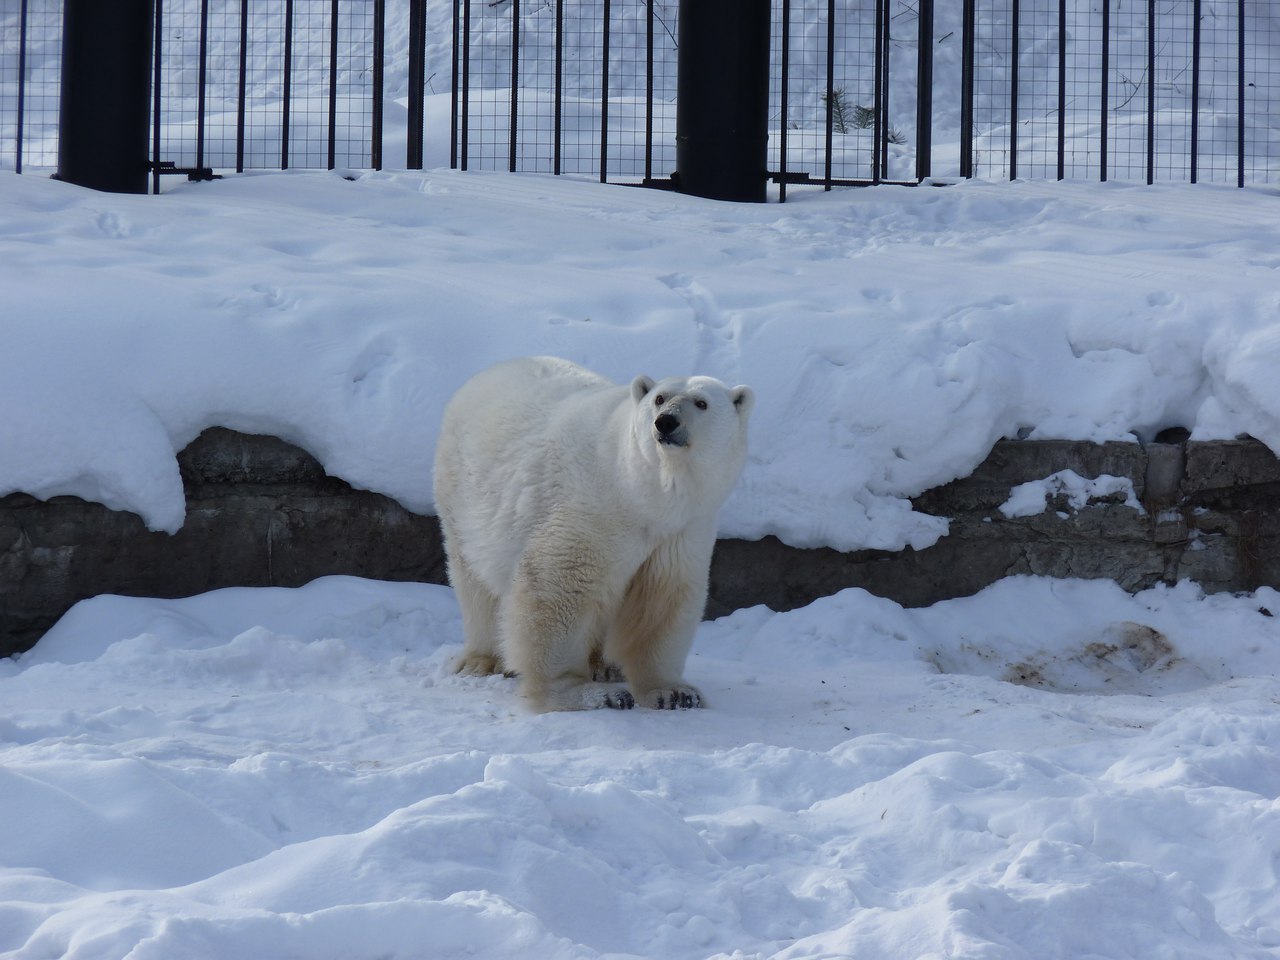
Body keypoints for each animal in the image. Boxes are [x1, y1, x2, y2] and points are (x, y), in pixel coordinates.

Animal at [432, 358, 747, 711]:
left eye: (701, 403)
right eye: (659, 398)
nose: (666, 422)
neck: (644, 492)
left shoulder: (683, 529)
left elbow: (662, 597)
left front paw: (675, 692)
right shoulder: (595, 507)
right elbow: (561, 584)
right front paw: (583, 693)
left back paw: (604, 666)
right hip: (463, 495)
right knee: (475, 580)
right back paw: (481, 660)